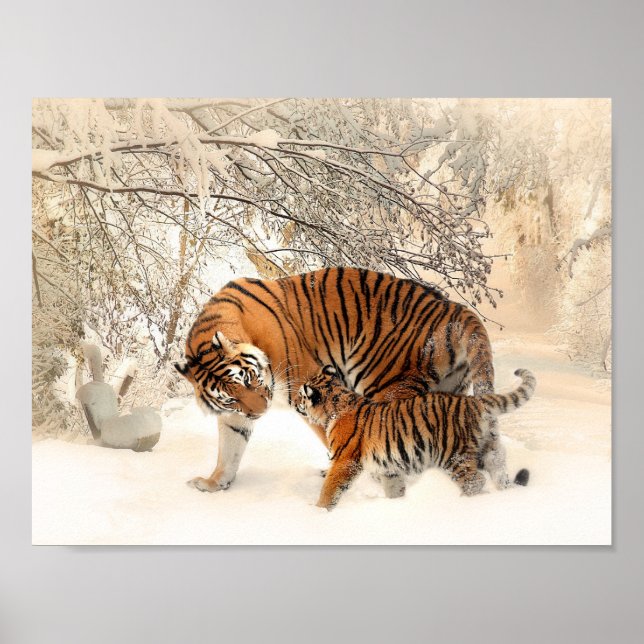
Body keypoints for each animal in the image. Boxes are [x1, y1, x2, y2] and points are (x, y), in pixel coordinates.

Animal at [175, 267, 497, 494]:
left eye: (250, 379)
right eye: (231, 397)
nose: (260, 412)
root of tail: (455, 309)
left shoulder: (307, 386)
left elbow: (332, 436)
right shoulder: (235, 415)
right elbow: (229, 449)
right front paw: (214, 483)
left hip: (386, 384)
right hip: (447, 392)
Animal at [297, 365, 535, 510]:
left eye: (301, 395)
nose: (296, 402)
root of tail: (474, 401)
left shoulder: (344, 460)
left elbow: (330, 488)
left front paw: (319, 511)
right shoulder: (389, 467)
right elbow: (394, 488)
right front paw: (397, 505)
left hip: (453, 455)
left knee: (475, 481)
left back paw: (461, 503)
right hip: (490, 450)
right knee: (499, 473)